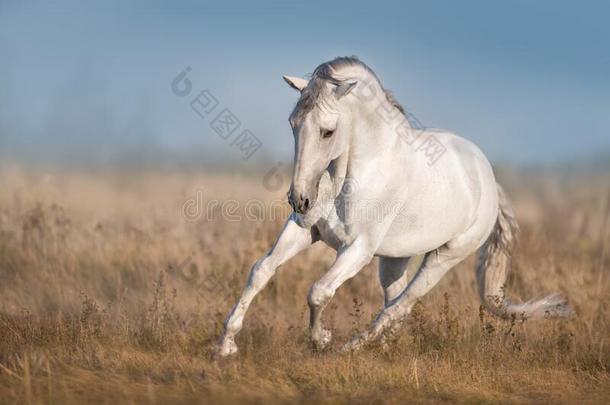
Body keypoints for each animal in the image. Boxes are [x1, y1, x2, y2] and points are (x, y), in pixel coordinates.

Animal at [217, 55, 568, 356]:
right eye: (293, 123)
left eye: (328, 131)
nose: (300, 199)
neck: (352, 176)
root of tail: (489, 180)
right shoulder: (304, 231)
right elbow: (260, 271)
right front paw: (226, 346)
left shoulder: (358, 249)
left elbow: (319, 291)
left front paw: (321, 339)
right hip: (394, 259)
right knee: (394, 301)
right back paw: (382, 346)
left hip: (443, 258)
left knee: (403, 303)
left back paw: (352, 347)